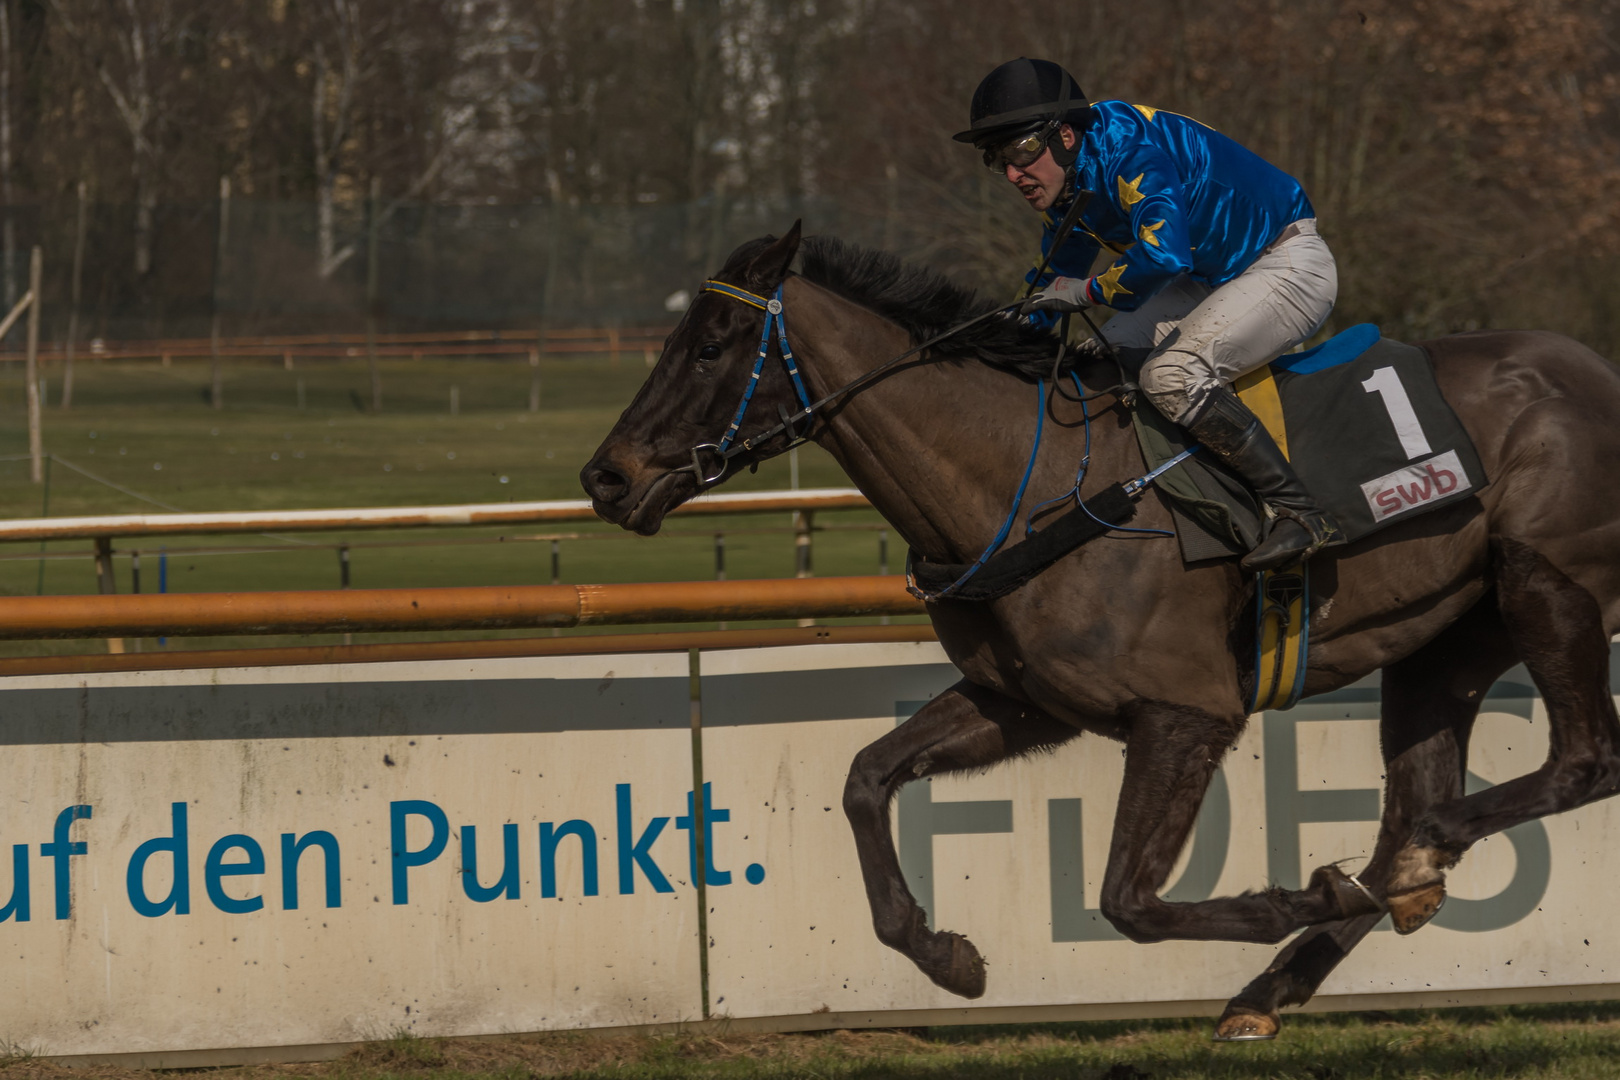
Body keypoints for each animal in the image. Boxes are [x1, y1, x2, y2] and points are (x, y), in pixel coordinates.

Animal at [579, 226, 1620, 1036]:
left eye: (712, 346)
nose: (606, 478)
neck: (1031, 484)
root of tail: (1594, 370)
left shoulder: (1185, 713)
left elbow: (1129, 900)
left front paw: (1298, 893)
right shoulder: (1024, 701)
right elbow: (867, 778)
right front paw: (945, 954)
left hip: (1544, 579)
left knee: (1577, 765)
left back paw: (1409, 864)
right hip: (1439, 647)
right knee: (1413, 806)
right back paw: (1300, 964)